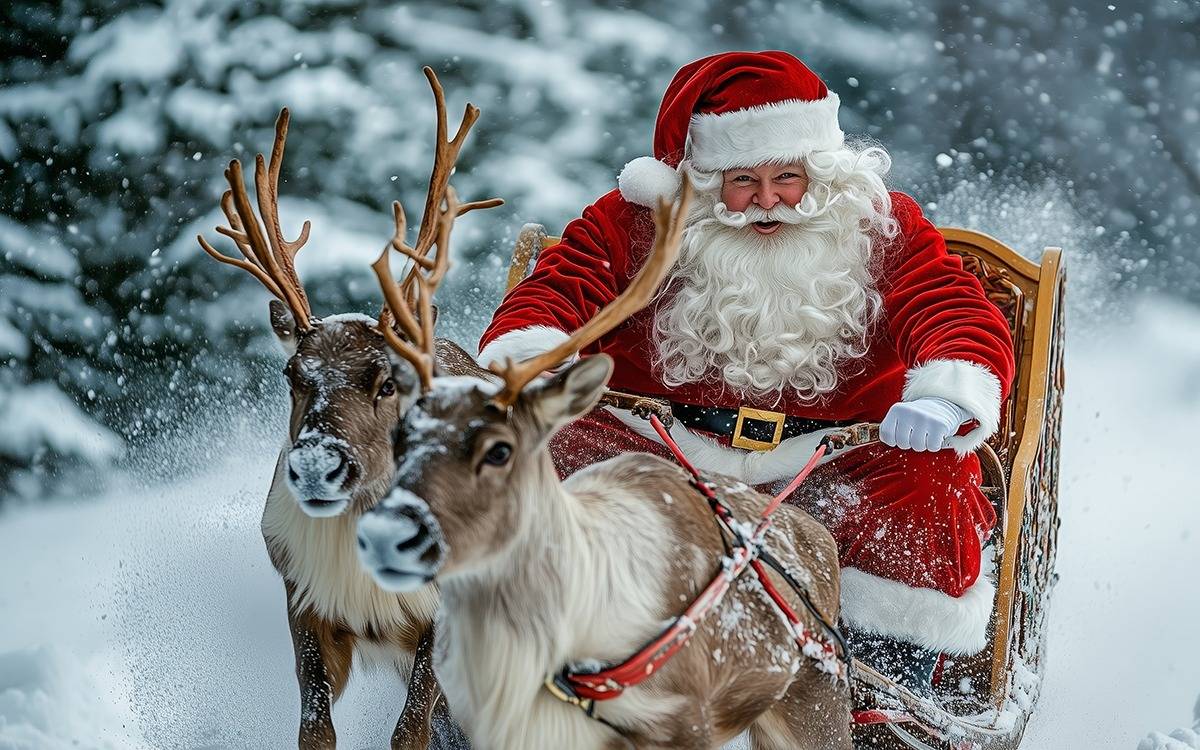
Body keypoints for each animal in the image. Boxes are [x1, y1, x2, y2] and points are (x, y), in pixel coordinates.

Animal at [195, 67, 499, 750]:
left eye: (389, 381)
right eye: (291, 375)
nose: (316, 468)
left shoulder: (444, 618)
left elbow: (410, 733)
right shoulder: (307, 607)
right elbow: (315, 728)